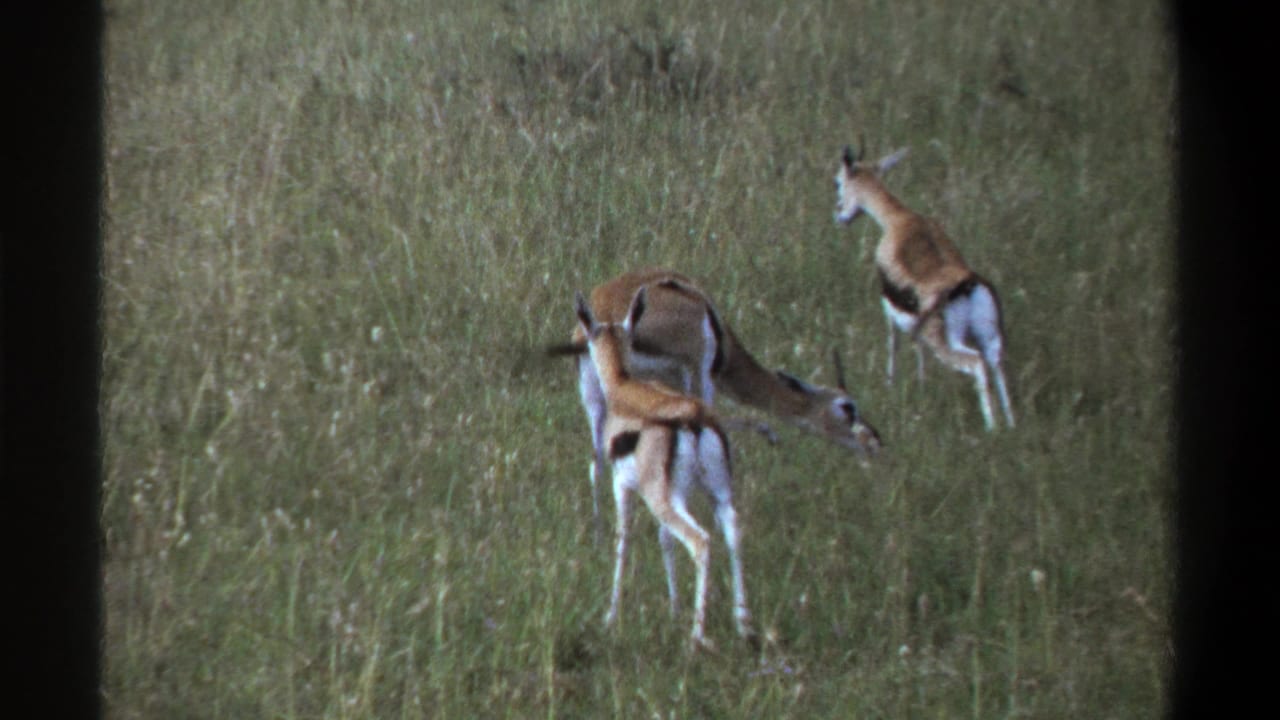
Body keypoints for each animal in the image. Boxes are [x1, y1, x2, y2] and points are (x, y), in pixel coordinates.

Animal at [550, 268, 881, 536]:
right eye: (847, 407)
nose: (874, 441)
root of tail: (602, 317)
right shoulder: (698, 375)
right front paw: (769, 433)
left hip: (597, 399)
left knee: (596, 463)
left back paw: (599, 536)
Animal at [573, 287, 754, 648]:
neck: (623, 386)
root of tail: (694, 420)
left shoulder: (623, 485)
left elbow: (623, 540)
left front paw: (611, 615)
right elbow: (664, 540)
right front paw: (673, 608)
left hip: (665, 500)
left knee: (701, 541)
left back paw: (697, 636)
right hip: (714, 494)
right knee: (733, 531)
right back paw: (743, 625)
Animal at [833, 144, 1015, 430]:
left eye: (837, 182)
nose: (839, 215)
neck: (899, 219)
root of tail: (967, 284)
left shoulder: (889, 308)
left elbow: (893, 344)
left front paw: (890, 385)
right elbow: (919, 354)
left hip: (948, 342)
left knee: (976, 363)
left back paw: (992, 427)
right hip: (990, 338)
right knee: (997, 366)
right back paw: (1011, 425)